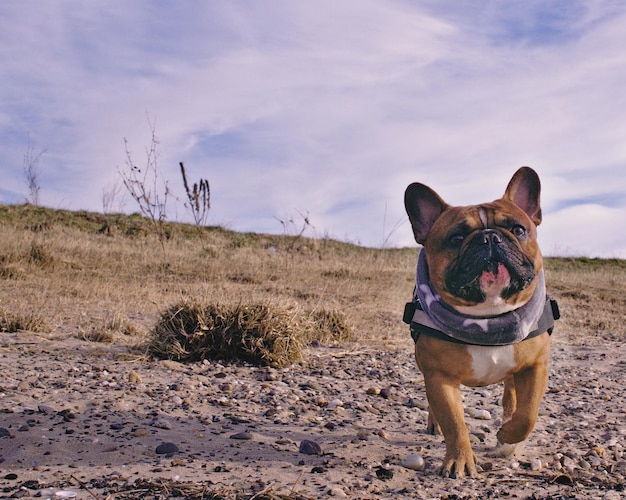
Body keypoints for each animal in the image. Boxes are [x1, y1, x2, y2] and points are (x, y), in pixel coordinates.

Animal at [404, 169, 556, 480]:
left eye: (518, 230)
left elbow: (528, 414)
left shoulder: (535, 366)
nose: (489, 237)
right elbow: (454, 422)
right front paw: (459, 460)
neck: (488, 318)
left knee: (512, 397)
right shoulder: (439, 377)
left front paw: (507, 436)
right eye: (456, 237)